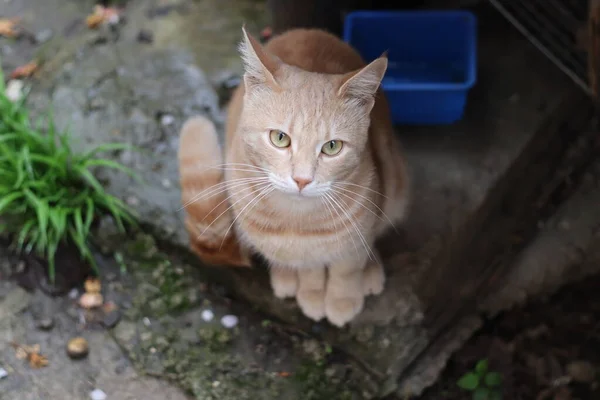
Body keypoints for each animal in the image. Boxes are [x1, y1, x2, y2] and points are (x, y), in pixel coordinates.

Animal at [178, 26, 410, 326]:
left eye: (332, 147)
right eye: (280, 138)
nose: (302, 179)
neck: (298, 221)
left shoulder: (363, 224)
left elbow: (348, 266)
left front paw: (342, 298)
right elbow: (308, 268)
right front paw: (312, 293)